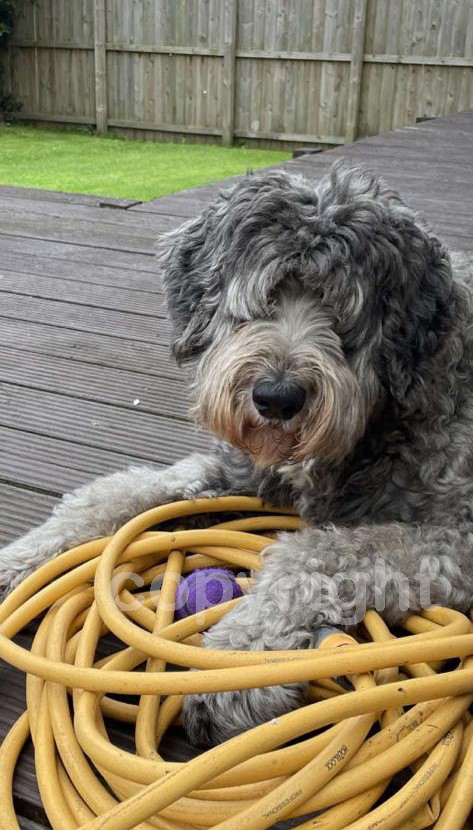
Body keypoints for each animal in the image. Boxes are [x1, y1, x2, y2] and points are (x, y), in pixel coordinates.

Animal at [1, 163, 473, 747]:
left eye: (340, 312)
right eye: (263, 298)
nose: (276, 398)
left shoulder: (454, 534)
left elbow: (314, 554)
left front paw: (240, 661)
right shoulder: (235, 469)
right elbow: (117, 493)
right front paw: (22, 558)